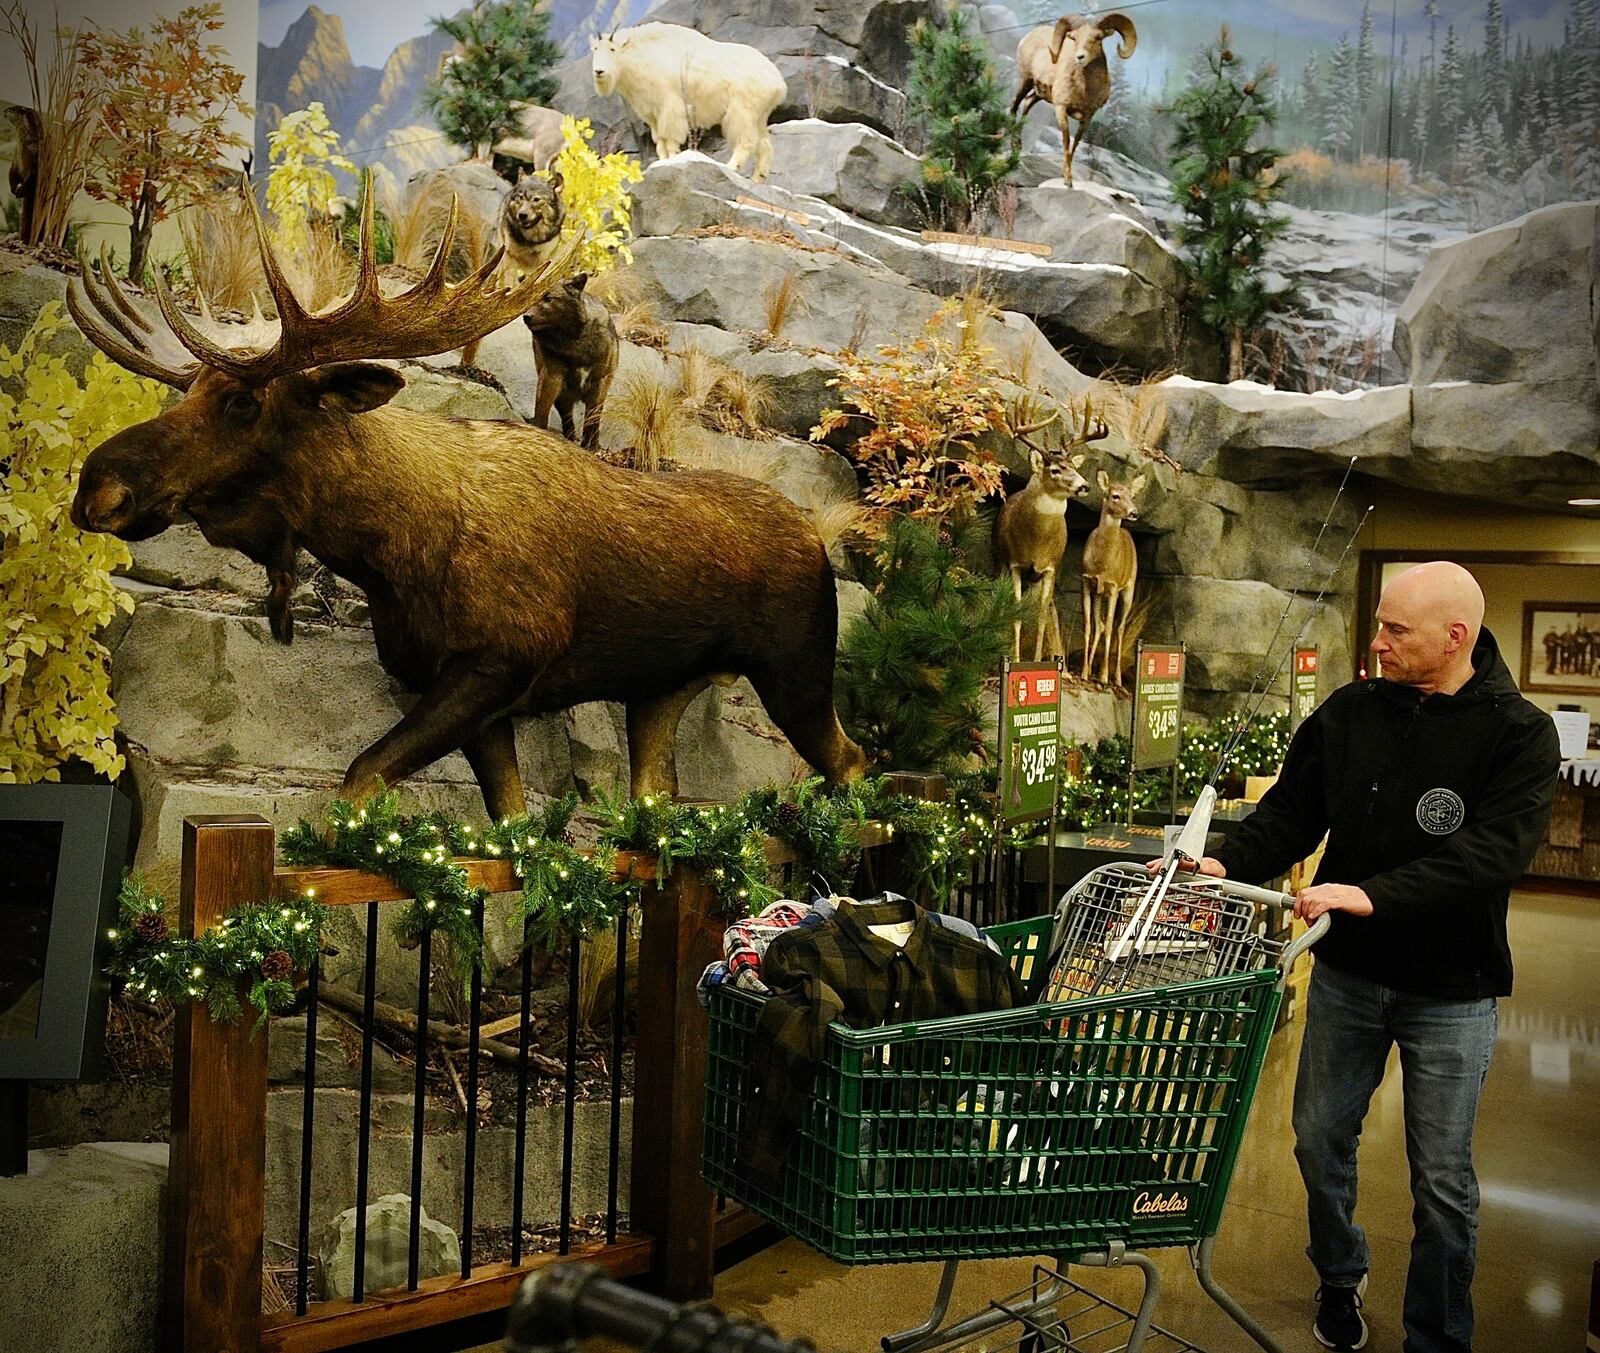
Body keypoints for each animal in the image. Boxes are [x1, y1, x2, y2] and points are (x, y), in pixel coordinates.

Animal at [65, 175, 864, 818]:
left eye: (241, 400)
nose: (96, 485)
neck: (386, 554)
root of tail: (814, 536)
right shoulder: (475, 700)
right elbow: (509, 828)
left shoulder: (498, 663)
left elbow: (361, 777)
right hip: (659, 689)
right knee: (657, 800)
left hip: (797, 665)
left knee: (852, 762)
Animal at [588, 22, 787, 183]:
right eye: (595, 49)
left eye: (612, 49)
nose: (599, 71)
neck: (640, 56)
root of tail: (778, 83)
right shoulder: (652, 113)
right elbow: (659, 141)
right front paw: (662, 161)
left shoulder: (670, 104)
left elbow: (670, 137)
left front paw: (673, 158)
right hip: (759, 114)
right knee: (765, 144)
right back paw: (757, 177)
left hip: (743, 109)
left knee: (747, 141)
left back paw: (730, 167)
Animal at [1011, 11, 1139, 187]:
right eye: (1075, 38)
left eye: (1098, 37)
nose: (1080, 57)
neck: (1084, 90)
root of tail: (1029, 35)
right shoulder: (1061, 109)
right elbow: (1066, 141)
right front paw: (1067, 180)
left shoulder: (1088, 117)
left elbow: (1076, 143)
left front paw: (1066, 174)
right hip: (1026, 80)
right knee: (1014, 105)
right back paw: (1012, 145)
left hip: (1039, 93)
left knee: (1026, 104)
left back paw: (1018, 145)